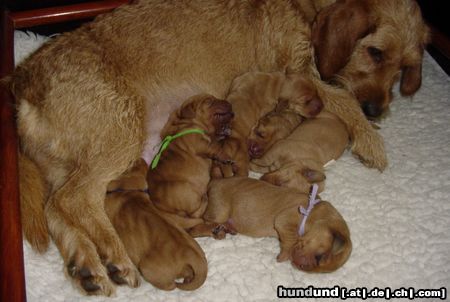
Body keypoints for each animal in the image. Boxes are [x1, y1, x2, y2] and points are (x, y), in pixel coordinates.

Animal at [147, 93, 234, 225]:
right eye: (209, 101)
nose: (228, 102)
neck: (186, 123)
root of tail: (157, 205)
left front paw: (223, 132)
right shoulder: (201, 144)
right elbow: (215, 147)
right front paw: (226, 156)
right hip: (186, 191)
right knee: (196, 213)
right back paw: (205, 197)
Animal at [188, 177, 350, 274]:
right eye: (319, 256)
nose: (301, 267)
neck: (314, 211)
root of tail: (213, 182)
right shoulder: (285, 220)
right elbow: (291, 241)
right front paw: (284, 255)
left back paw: (227, 228)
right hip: (220, 209)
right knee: (199, 226)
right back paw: (217, 229)